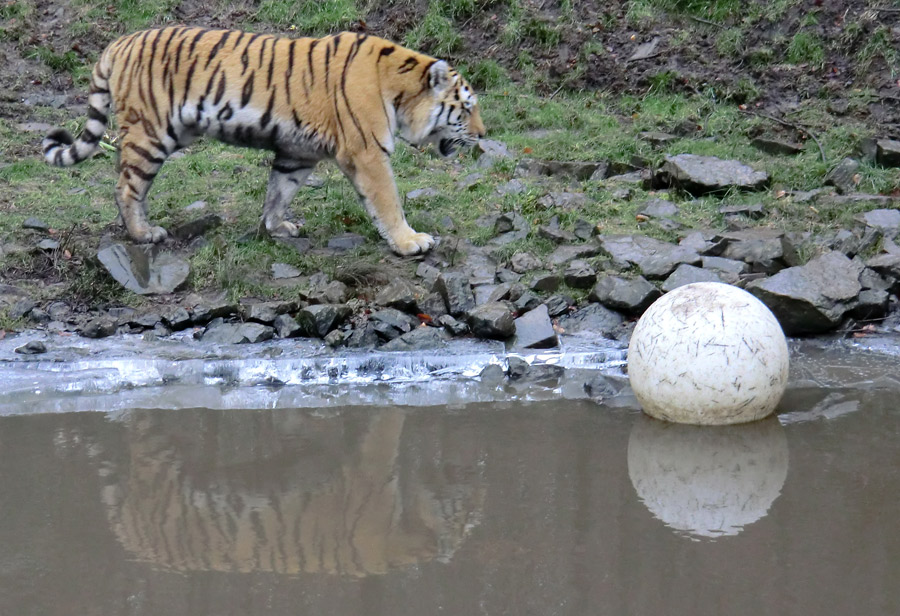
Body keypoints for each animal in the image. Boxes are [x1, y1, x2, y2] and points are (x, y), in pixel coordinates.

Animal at [42, 27, 486, 255]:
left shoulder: (296, 152)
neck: (400, 91)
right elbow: (389, 201)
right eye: (466, 109)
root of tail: (121, 41)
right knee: (125, 187)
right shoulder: (367, 153)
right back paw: (143, 233)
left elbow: (279, 191)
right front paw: (410, 241)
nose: (485, 135)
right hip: (150, 133)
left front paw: (276, 226)